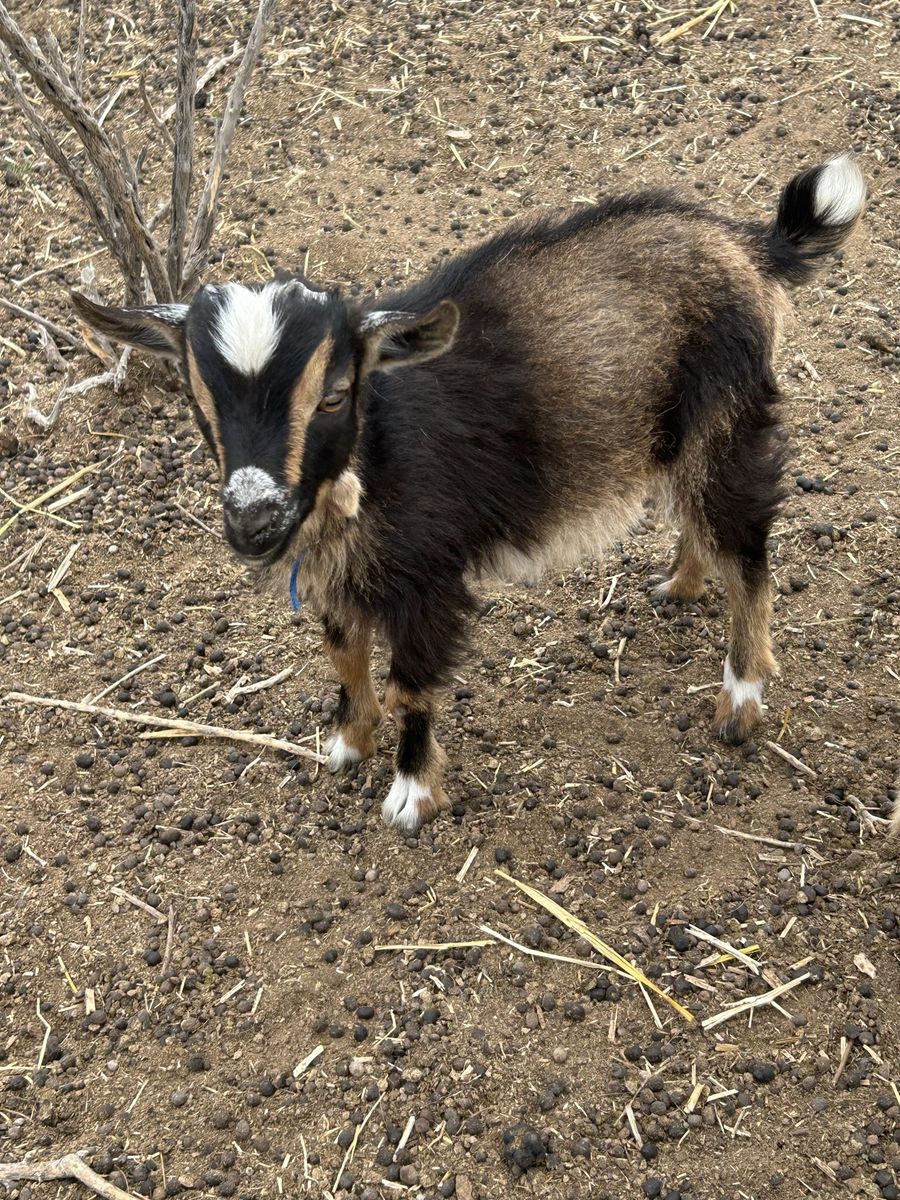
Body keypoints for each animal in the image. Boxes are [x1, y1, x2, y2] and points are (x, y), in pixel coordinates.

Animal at [71, 153, 866, 832]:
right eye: (194, 398)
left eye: (334, 396)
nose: (254, 519)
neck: (375, 450)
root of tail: (748, 246)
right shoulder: (339, 575)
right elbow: (344, 654)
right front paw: (346, 744)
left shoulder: (428, 578)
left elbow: (411, 685)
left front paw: (411, 796)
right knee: (701, 517)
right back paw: (680, 585)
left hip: (729, 416)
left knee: (747, 547)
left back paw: (740, 700)